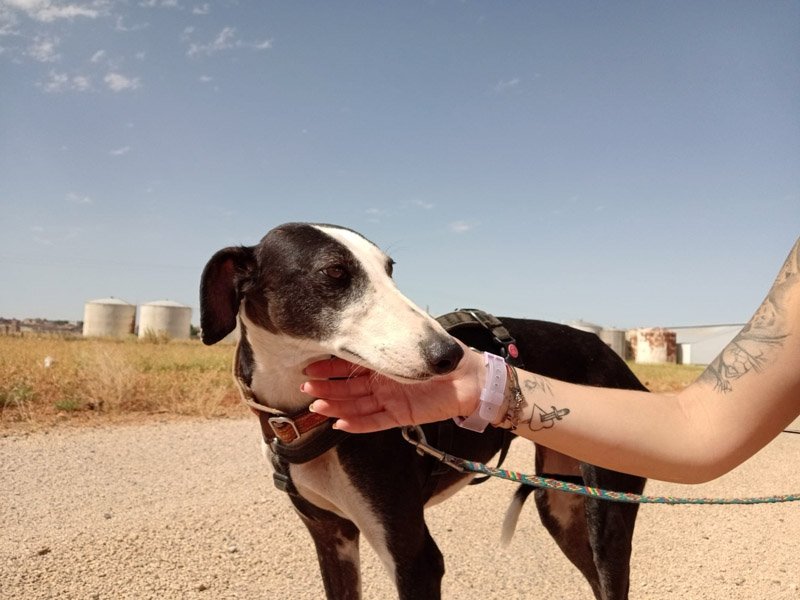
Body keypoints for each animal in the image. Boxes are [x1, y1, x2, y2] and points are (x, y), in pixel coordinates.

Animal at [200, 222, 648, 600]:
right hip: (561, 506)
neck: (301, 417)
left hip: (605, 516)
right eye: (334, 272)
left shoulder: (416, 559)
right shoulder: (332, 538)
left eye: (390, 270)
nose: (451, 354)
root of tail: (618, 361)